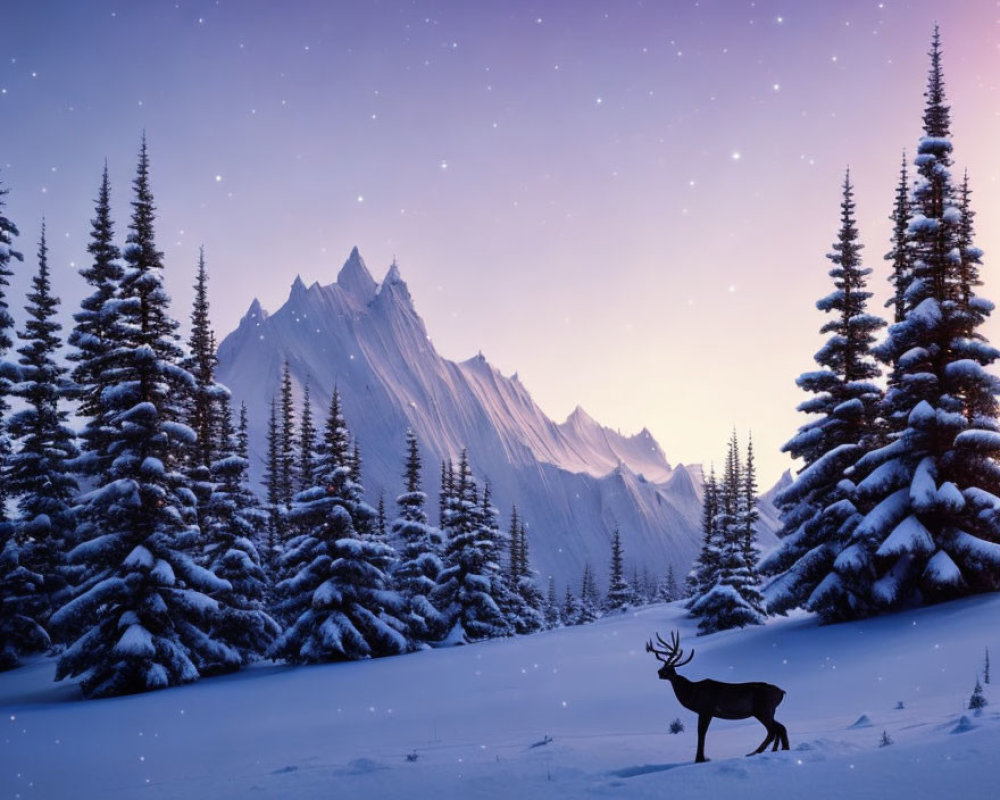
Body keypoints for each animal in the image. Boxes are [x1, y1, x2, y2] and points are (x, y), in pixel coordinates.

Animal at [648, 632, 788, 764]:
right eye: (663, 665)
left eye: (669, 668)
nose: (659, 672)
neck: (691, 693)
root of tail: (782, 692)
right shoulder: (706, 712)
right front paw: (701, 758)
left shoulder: (705, 710)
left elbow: (701, 733)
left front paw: (699, 759)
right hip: (768, 711)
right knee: (780, 727)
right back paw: (781, 749)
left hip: (763, 709)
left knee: (773, 730)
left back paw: (754, 752)